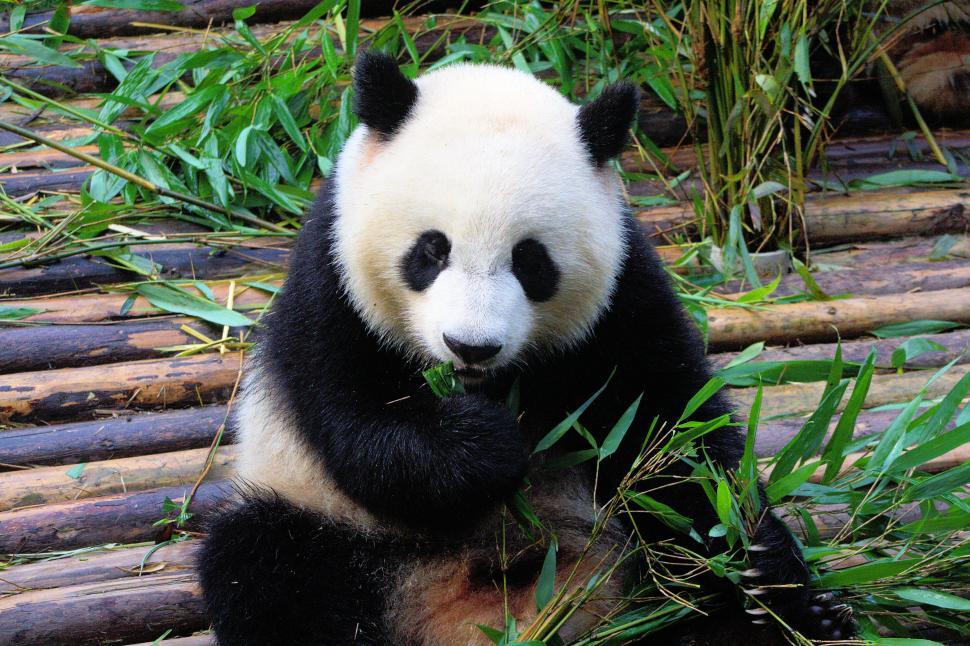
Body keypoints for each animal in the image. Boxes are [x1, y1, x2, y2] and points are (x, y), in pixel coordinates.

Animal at [198, 52, 854, 645]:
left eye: (531, 261)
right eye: (432, 250)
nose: (471, 346)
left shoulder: (623, 293)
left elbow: (672, 438)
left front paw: (763, 562)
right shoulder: (331, 284)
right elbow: (356, 427)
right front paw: (487, 446)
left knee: (671, 574)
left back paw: (786, 619)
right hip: (329, 521)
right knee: (263, 563)